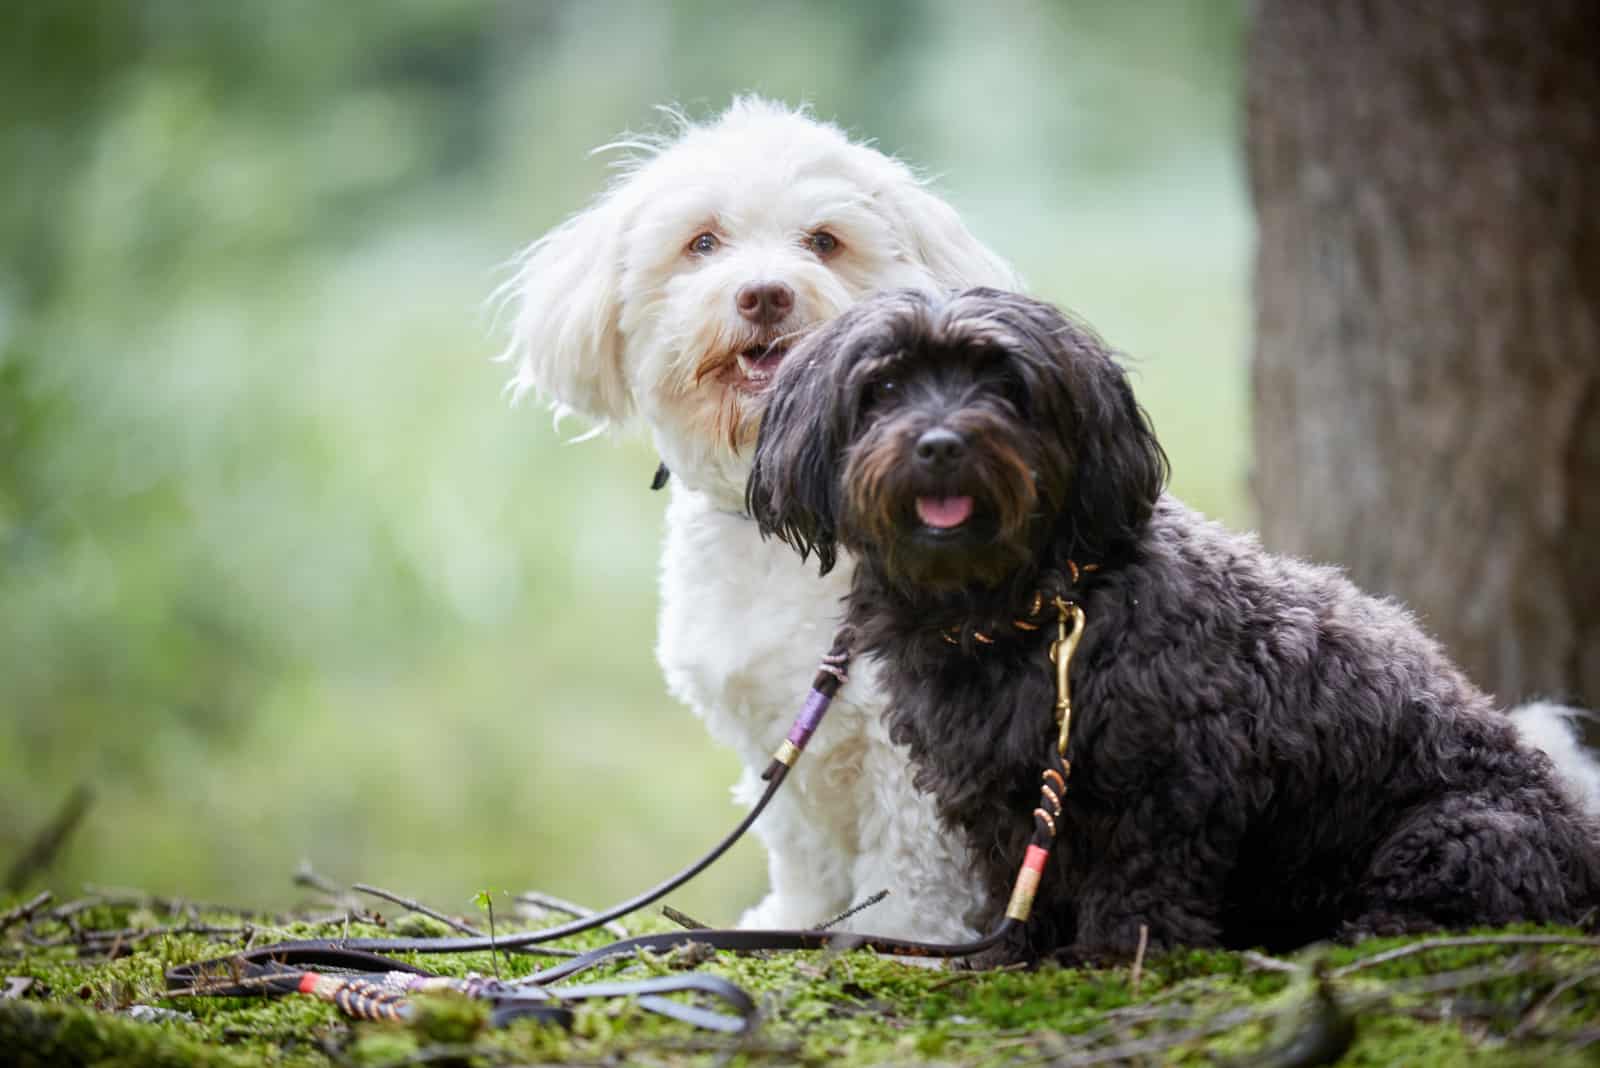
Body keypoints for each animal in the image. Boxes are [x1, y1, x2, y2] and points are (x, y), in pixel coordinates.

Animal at [505, 95, 1017, 940]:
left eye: (824, 242)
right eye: (703, 242)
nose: (765, 294)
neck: (784, 522)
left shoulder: (910, 752)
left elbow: (911, 861)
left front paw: (902, 937)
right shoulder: (769, 730)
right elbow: (797, 841)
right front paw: (794, 916)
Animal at [748, 286, 1600, 959]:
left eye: (1004, 383)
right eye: (885, 385)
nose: (939, 444)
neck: (1034, 613)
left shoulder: (1171, 780)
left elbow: (1141, 878)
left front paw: (1116, 955)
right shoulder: (1003, 799)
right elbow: (1016, 876)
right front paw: (1010, 948)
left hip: (1462, 829)